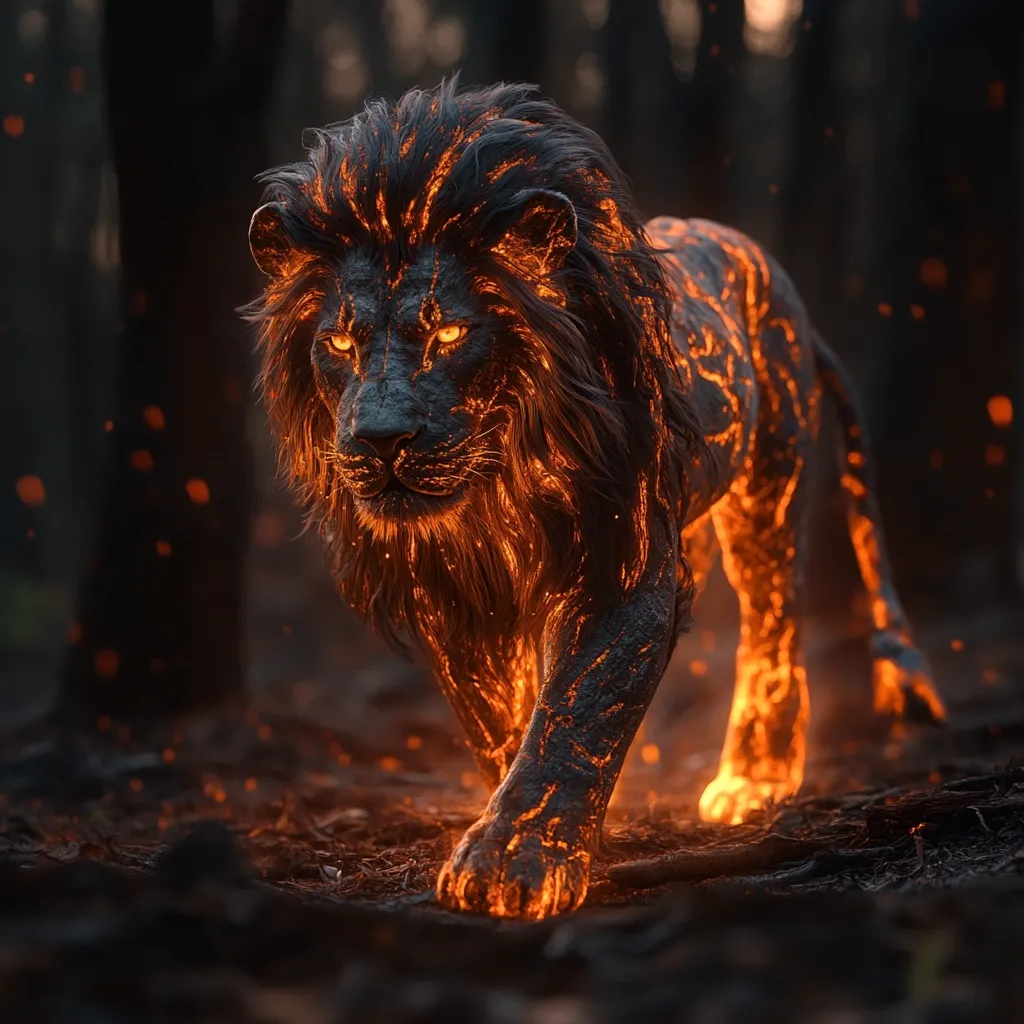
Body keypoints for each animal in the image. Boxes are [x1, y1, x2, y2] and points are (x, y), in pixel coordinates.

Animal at [244, 79, 945, 920]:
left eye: (449, 334)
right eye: (341, 343)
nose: (382, 441)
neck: (499, 480)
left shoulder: (625, 556)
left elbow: (579, 702)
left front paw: (515, 861)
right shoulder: (454, 594)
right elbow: (500, 721)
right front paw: (542, 830)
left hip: (770, 490)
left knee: (773, 624)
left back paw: (753, 783)